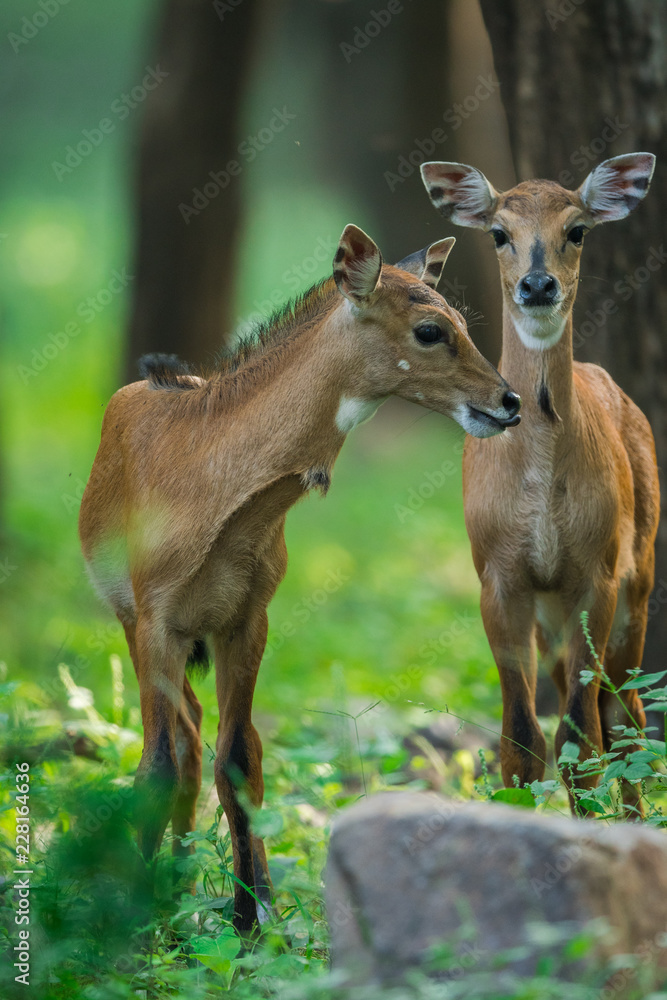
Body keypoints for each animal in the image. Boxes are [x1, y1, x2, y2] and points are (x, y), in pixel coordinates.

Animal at [79, 225, 520, 928]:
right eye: (430, 329)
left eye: (460, 319)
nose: (509, 402)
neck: (217, 502)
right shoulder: (155, 619)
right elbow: (154, 767)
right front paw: (136, 926)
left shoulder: (246, 617)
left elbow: (239, 756)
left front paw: (251, 920)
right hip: (129, 619)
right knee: (180, 742)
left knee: (203, 734)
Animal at [426, 156, 660, 812]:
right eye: (498, 233)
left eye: (577, 230)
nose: (537, 285)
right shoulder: (498, 574)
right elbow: (522, 741)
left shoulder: (597, 572)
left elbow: (581, 738)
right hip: (552, 613)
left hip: (639, 575)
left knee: (627, 714)